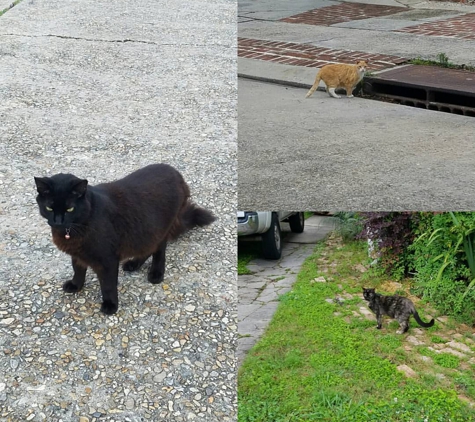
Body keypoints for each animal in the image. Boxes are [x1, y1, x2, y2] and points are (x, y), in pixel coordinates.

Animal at [34, 163, 217, 314]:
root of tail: (176, 173)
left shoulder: (107, 259)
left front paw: (110, 305)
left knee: (159, 251)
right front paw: (76, 285)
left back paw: (155, 273)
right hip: (144, 231)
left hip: (161, 229)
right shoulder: (78, 254)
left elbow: (108, 285)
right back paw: (133, 264)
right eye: (49, 207)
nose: (58, 221)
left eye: (70, 209)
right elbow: (78, 270)